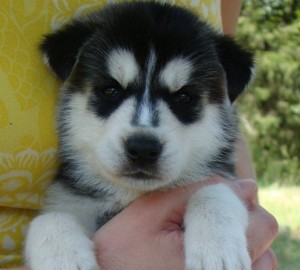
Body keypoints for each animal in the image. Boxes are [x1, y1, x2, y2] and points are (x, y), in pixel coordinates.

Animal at [25, 1, 253, 268]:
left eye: (184, 97)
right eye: (111, 90)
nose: (143, 148)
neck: (130, 194)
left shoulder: (226, 180)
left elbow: (214, 192)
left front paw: (216, 247)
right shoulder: (68, 200)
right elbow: (49, 218)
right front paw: (64, 258)